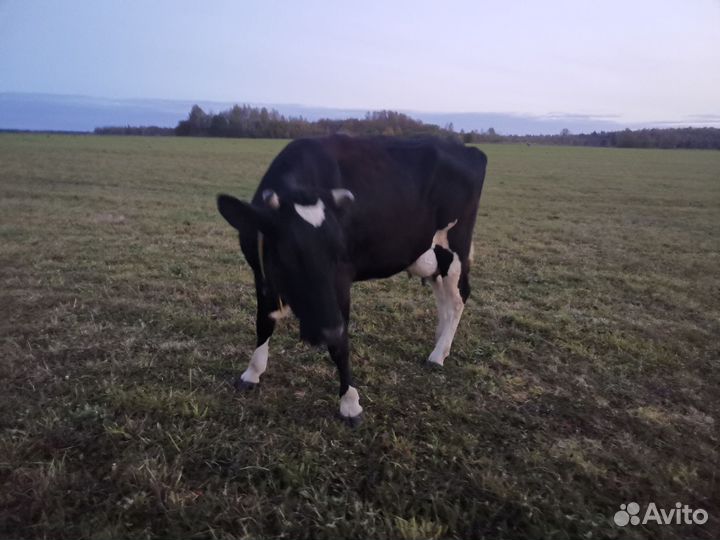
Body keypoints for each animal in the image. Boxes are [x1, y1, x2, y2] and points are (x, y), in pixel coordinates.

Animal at [217, 135, 487, 425]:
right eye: (289, 255)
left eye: (339, 252)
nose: (327, 330)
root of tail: (467, 148)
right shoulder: (260, 274)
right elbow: (263, 323)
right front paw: (252, 373)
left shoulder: (341, 281)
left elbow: (340, 345)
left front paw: (349, 403)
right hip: (433, 252)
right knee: (443, 297)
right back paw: (439, 343)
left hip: (455, 245)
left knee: (458, 297)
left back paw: (438, 354)